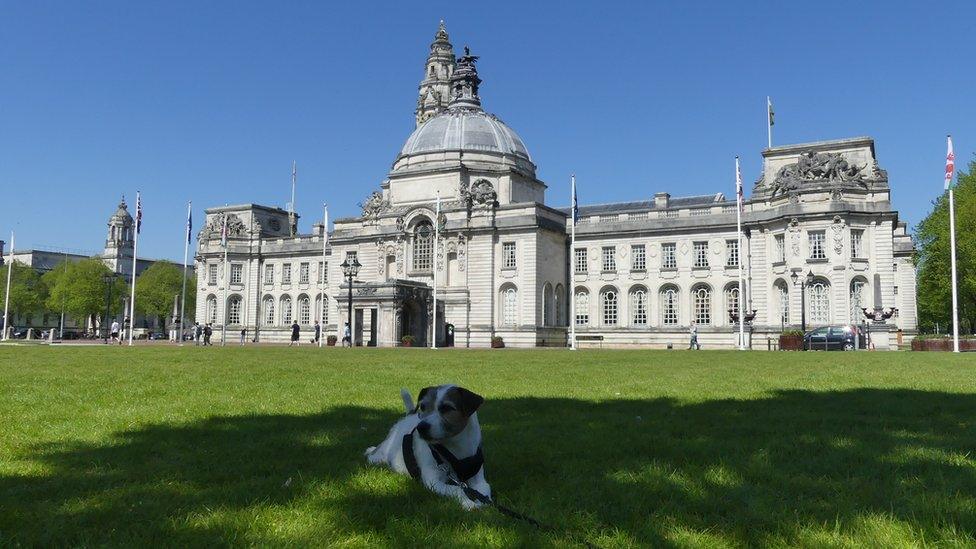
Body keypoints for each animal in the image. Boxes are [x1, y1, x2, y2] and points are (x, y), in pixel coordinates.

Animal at [364, 384, 492, 508]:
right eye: (423, 407)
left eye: (447, 408)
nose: (421, 427)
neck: (454, 449)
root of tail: (409, 416)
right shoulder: (433, 481)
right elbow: (457, 489)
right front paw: (468, 503)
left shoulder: (479, 480)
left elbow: (484, 490)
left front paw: (482, 502)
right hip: (383, 452)